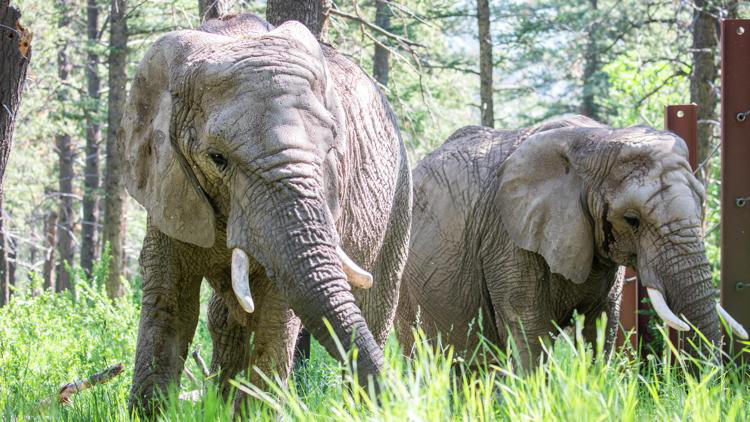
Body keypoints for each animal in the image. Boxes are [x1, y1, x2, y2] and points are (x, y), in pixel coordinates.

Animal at [119, 13, 411, 413]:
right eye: (217, 158)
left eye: (332, 147)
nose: (411, 399)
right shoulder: (168, 181)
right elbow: (171, 305)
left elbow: (276, 315)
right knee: (225, 316)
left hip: (400, 194)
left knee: (375, 307)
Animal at [396, 115, 747, 369]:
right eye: (631, 219)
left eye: (702, 200)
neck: (597, 140)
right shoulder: (507, 238)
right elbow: (528, 329)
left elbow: (601, 326)